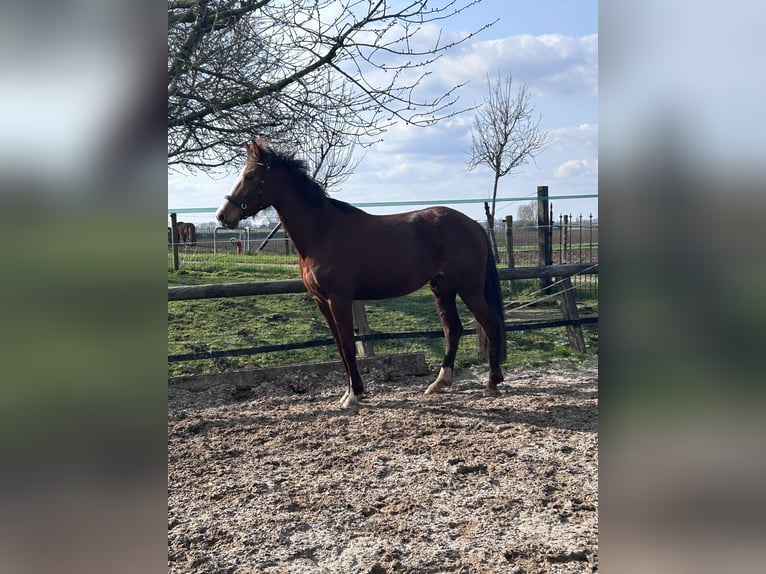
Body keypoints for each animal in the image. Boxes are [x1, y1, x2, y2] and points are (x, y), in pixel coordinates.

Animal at [216, 139, 506, 408]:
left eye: (250, 176)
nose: (222, 216)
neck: (324, 231)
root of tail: (474, 225)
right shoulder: (321, 301)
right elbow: (339, 347)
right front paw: (349, 391)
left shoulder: (339, 299)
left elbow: (347, 346)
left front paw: (354, 395)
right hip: (442, 288)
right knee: (452, 330)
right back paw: (440, 382)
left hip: (469, 289)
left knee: (490, 324)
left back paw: (492, 382)